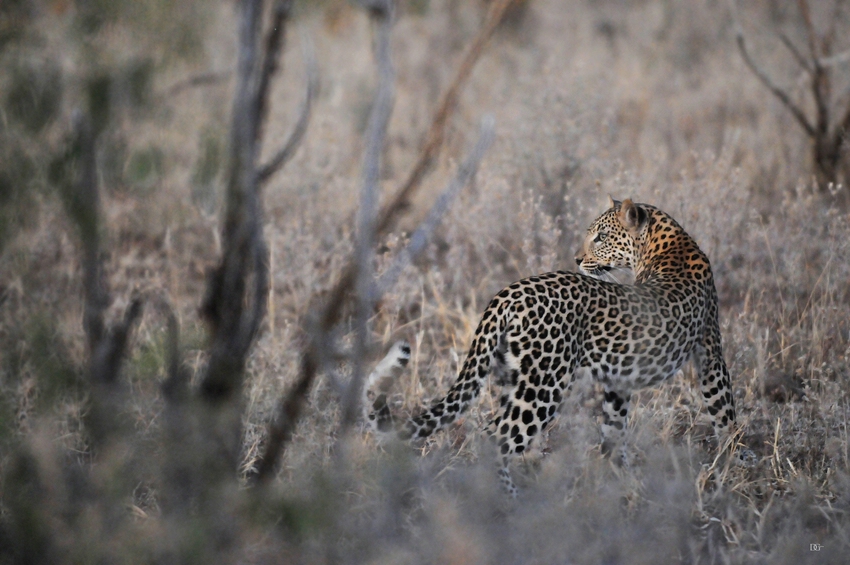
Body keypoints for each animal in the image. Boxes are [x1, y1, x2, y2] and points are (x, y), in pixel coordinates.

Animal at [364, 197, 748, 494]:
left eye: (601, 237)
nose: (577, 259)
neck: (666, 242)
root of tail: (508, 293)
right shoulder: (711, 352)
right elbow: (724, 410)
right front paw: (737, 463)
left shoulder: (620, 381)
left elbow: (614, 430)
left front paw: (623, 481)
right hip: (543, 386)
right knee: (497, 438)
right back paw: (510, 501)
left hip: (513, 378)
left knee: (484, 431)